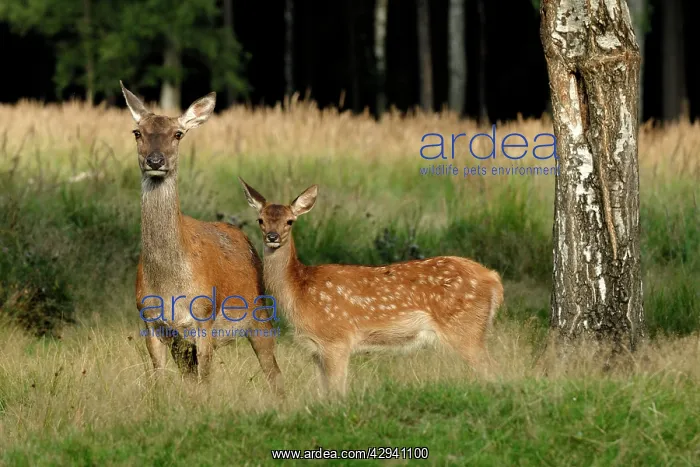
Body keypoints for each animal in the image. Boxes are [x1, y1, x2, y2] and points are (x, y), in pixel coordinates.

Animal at [120, 81, 284, 395]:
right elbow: (159, 379)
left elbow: (206, 379)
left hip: (260, 313)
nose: (155, 160)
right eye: (137, 132)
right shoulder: (150, 320)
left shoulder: (203, 317)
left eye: (178, 133)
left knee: (273, 371)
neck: (169, 286)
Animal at [238, 178, 504, 397]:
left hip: (465, 328)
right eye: (260, 220)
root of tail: (493, 279)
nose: (272, 237)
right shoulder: (316, 349)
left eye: (290, 221)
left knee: (494, 372)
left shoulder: (337, 339)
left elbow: (337, 393)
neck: (299, 292)